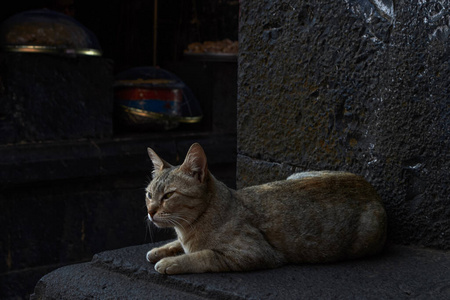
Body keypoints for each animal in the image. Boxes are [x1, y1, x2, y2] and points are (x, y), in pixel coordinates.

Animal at [144, 143, 386, 274]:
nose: (150, 211)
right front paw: (161, 250)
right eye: (149, 195)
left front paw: (172, 262)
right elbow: (178, 244)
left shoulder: (253, 253)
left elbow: (203, 256)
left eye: (168, 195)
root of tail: (369, 188)